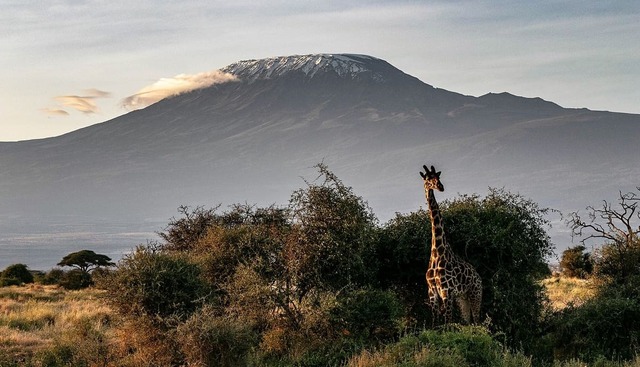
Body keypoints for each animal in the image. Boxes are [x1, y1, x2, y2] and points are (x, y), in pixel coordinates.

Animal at [418, 166, 482, 324]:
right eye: (428, 178)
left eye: (438, 177)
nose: (440, 187)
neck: (437, 252)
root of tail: (479, 277)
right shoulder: (432, 292)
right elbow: (435, 323)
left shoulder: (446, 290)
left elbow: (447, 322)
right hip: (462, 299)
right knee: (468, 322)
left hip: (475, 294)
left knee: (478, 322)